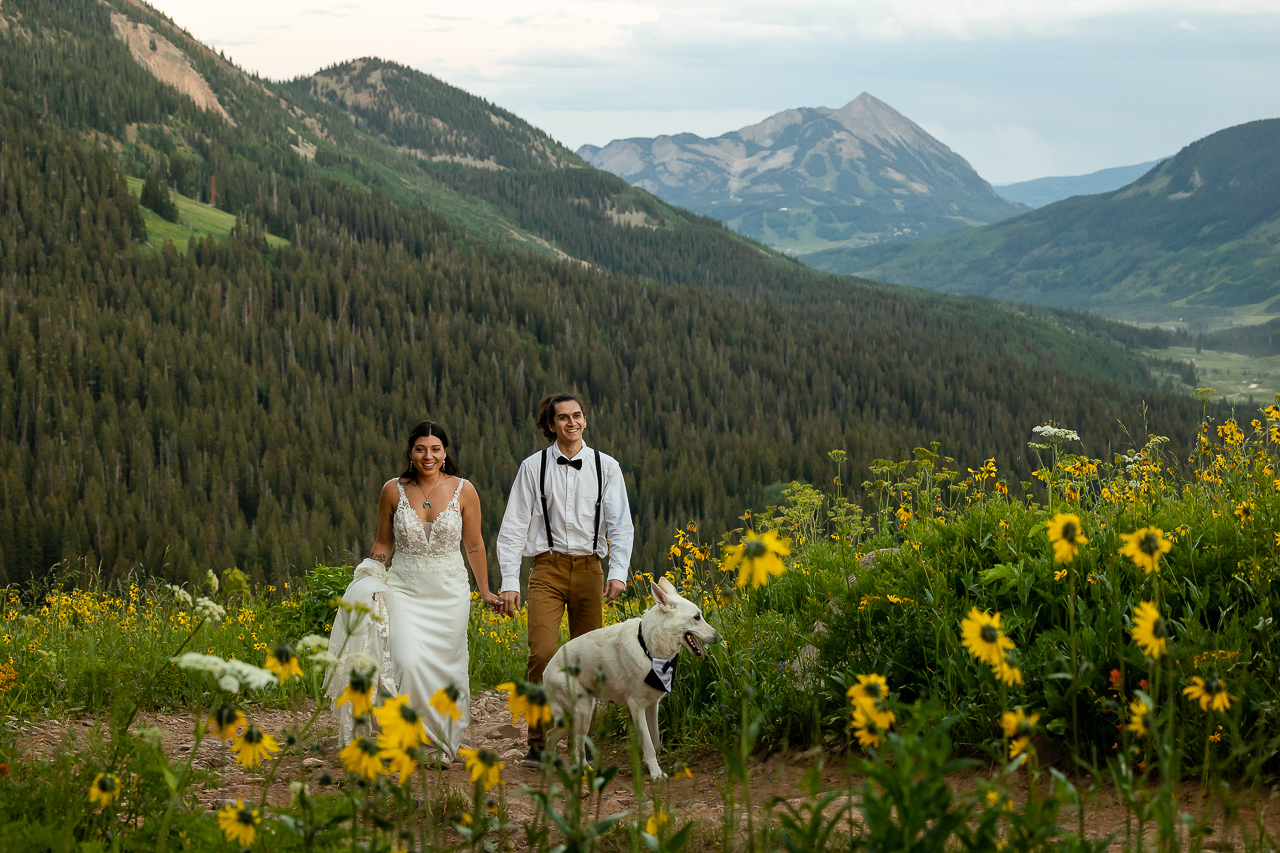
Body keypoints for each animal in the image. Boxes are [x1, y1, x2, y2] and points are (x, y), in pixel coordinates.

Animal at [540, 571, 721, 778]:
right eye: (697, 617)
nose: (719, 638)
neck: (650, 648)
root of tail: (546, 670)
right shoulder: (636, 706)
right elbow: (648, 744)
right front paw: (656, 774)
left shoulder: (652, 705)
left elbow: (655, 742)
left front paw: (647, 766)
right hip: (582, 712)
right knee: (575, 750)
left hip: (581, 714)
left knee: (552, 736)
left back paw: (553, 767)